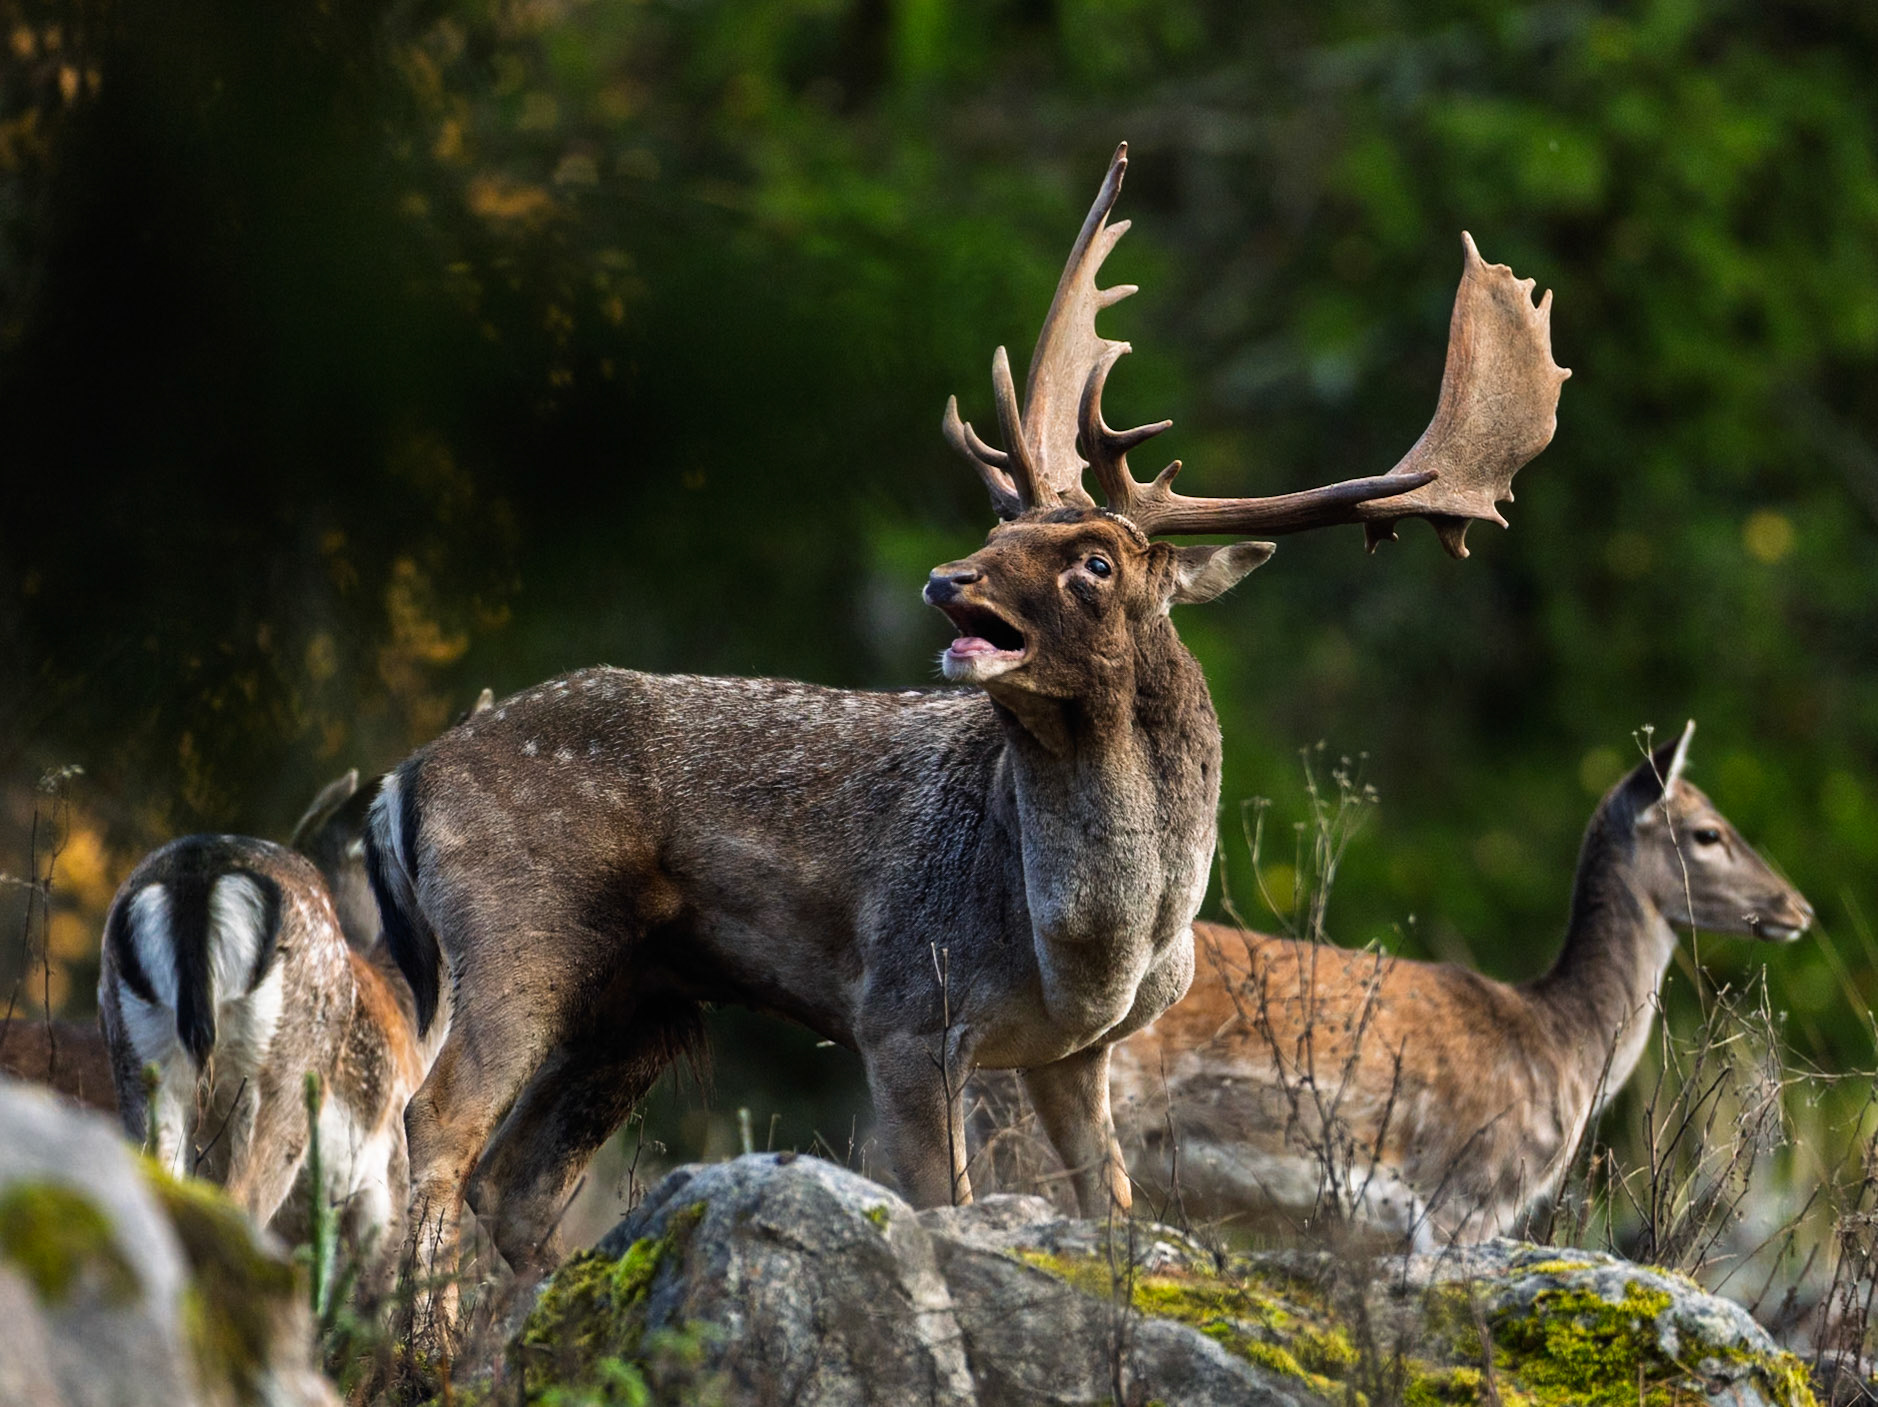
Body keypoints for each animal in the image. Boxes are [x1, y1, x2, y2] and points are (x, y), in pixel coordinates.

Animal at [364, 141, 1567, 1305]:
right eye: (1002, 524)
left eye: (1094, 559)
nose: (949, 581)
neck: (1096, 941)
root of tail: (402, 778)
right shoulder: (902, 1014)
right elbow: (943, 1209)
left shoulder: (1077, 1053)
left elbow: (1111, 1209)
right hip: (519, 928)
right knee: (434, 1128)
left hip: (640, 997)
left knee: (515, 1187)